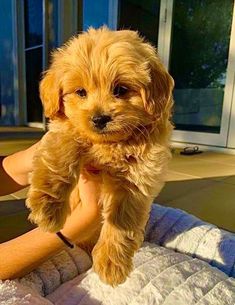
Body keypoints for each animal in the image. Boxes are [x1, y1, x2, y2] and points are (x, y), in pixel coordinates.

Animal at [26, 26, 174, 284]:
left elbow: (123, 216)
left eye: (121, 90)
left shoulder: (141, 173)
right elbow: (60, 156)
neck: (109, 145)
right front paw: (47, 209)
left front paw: (111, 263)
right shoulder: (64, 131)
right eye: (80, 92)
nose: (99, 119)